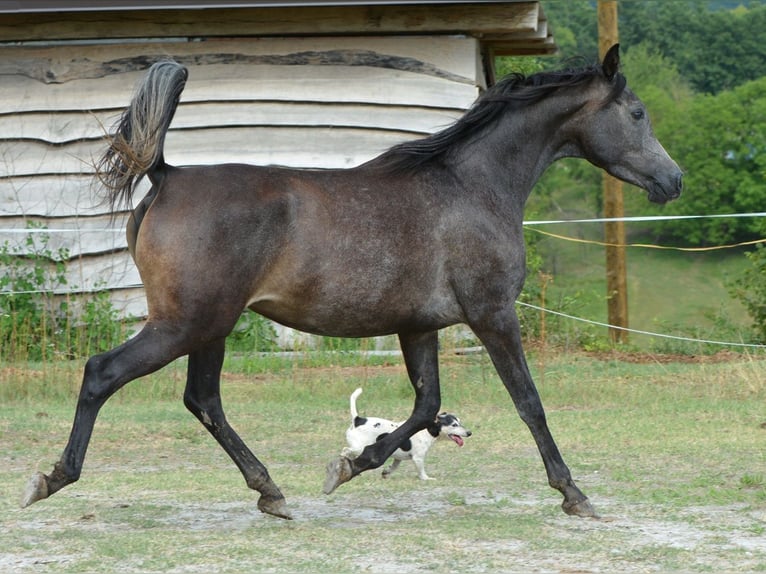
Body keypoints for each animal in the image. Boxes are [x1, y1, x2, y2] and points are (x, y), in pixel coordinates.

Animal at [22, 44, 682, 520]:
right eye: (638, 113)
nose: (672, 180)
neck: (471, 187)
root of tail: (167, 175)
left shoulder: (419, 326)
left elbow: (426, 406)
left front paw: (353, 464)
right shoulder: (493, 314)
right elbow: (529, 403)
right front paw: (574, 494)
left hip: (210, 327)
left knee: (202, 400)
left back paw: (271, 491)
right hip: (186, 322)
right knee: (103, 374)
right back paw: (51, 479)